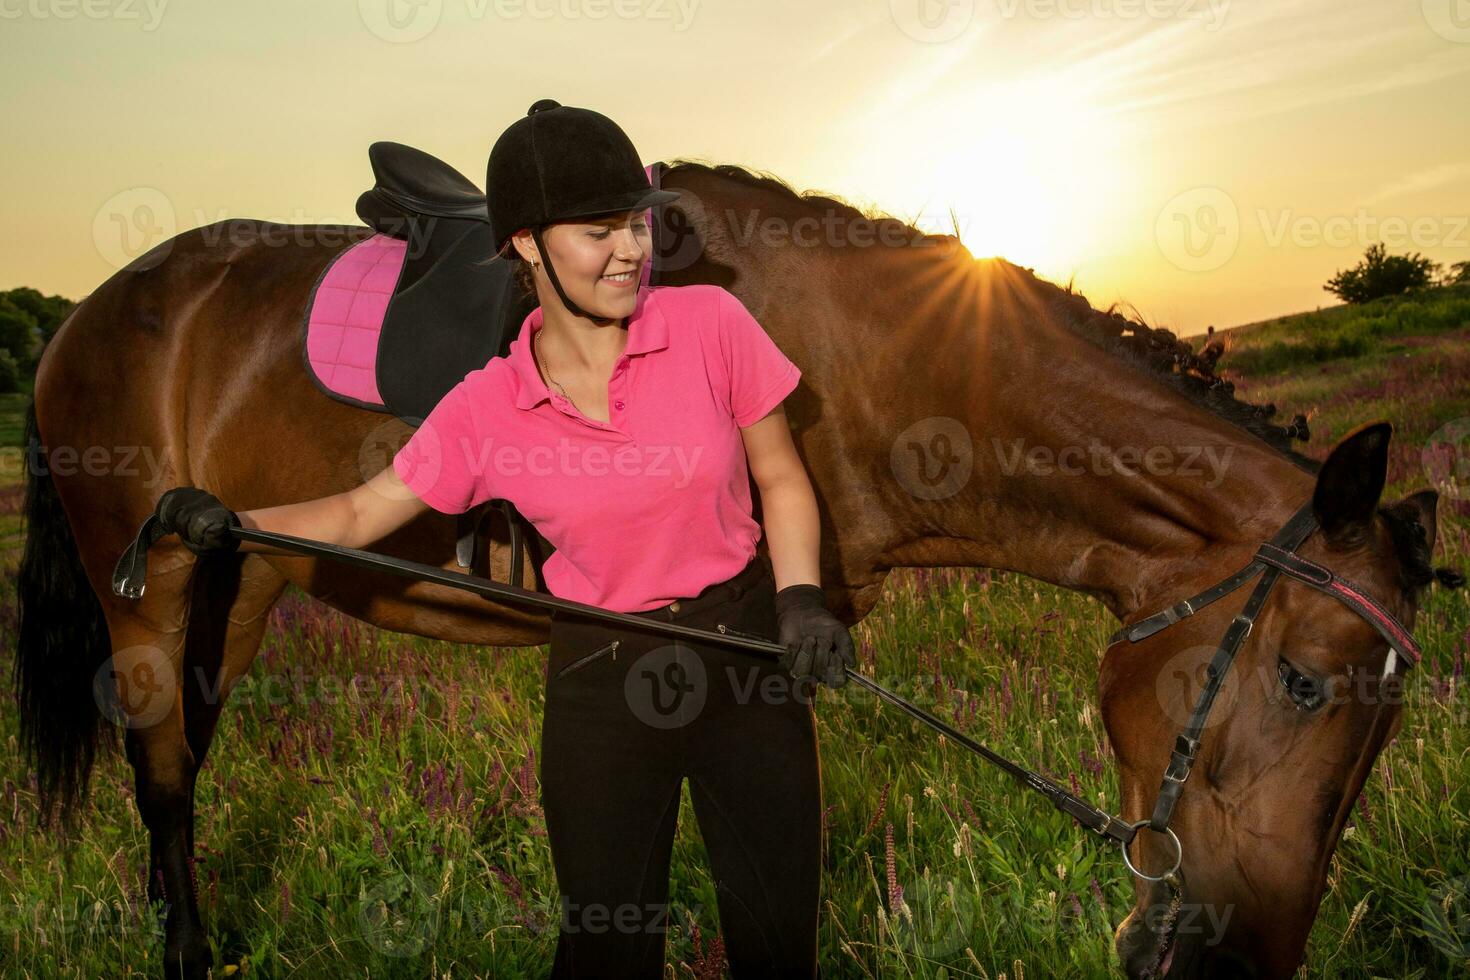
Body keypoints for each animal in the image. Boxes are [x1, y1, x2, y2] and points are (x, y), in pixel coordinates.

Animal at [14, 157, 1458, 975]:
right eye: (1306, 685)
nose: (1238, 960)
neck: (876, 365)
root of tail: (91, 312)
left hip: (238, 578)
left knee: (180, 772)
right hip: (148, 598)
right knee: (160, 780)